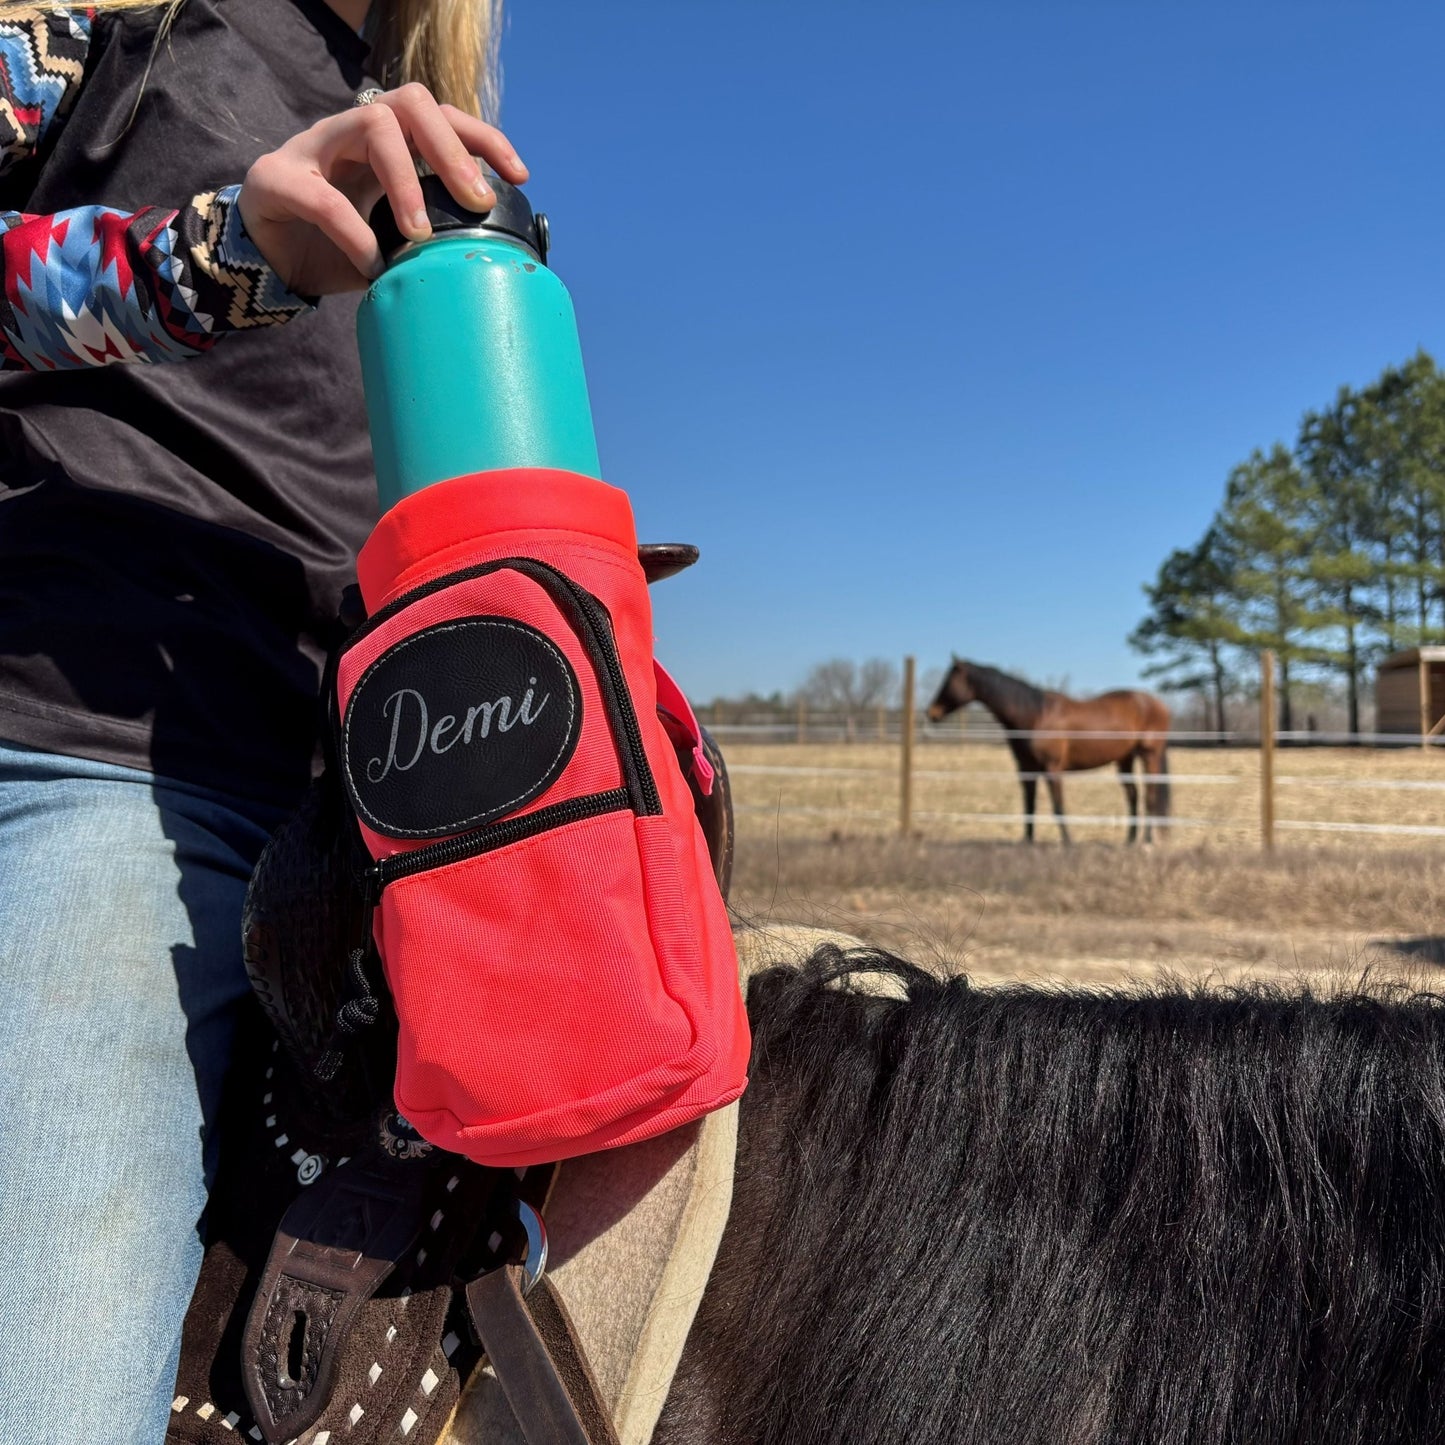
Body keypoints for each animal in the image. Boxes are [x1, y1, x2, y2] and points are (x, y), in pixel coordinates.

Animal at [926, 656, 1171, 843]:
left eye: (948, 681)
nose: (931, 713)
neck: (1035, 716)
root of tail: (1157, 703)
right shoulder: (1026, 769)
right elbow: (1029, 805)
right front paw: (1027, 842)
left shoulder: (1052, 769)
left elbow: (1058, 806)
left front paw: (1068, 843)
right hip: (1124, 759)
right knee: (1133, 796)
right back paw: (1129, 840)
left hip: (1149, 755)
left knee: (1150, 796)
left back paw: (1147, 841)